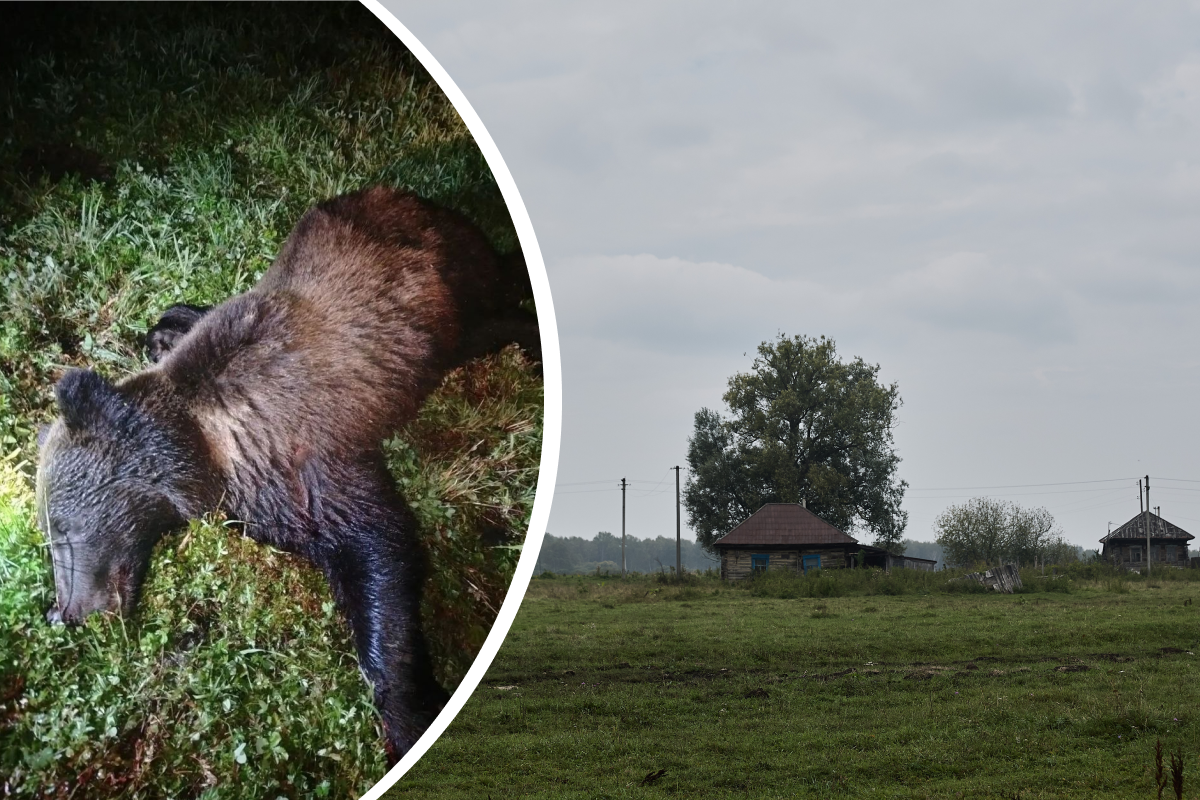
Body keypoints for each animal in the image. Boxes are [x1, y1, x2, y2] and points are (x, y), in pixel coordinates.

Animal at [34, 186, 540, 761]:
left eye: (60, 530)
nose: (68, 612)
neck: (208, 445)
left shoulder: (304, 460)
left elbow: (379, 544)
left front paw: (408, 715)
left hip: (451, 288)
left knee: (495, 304)